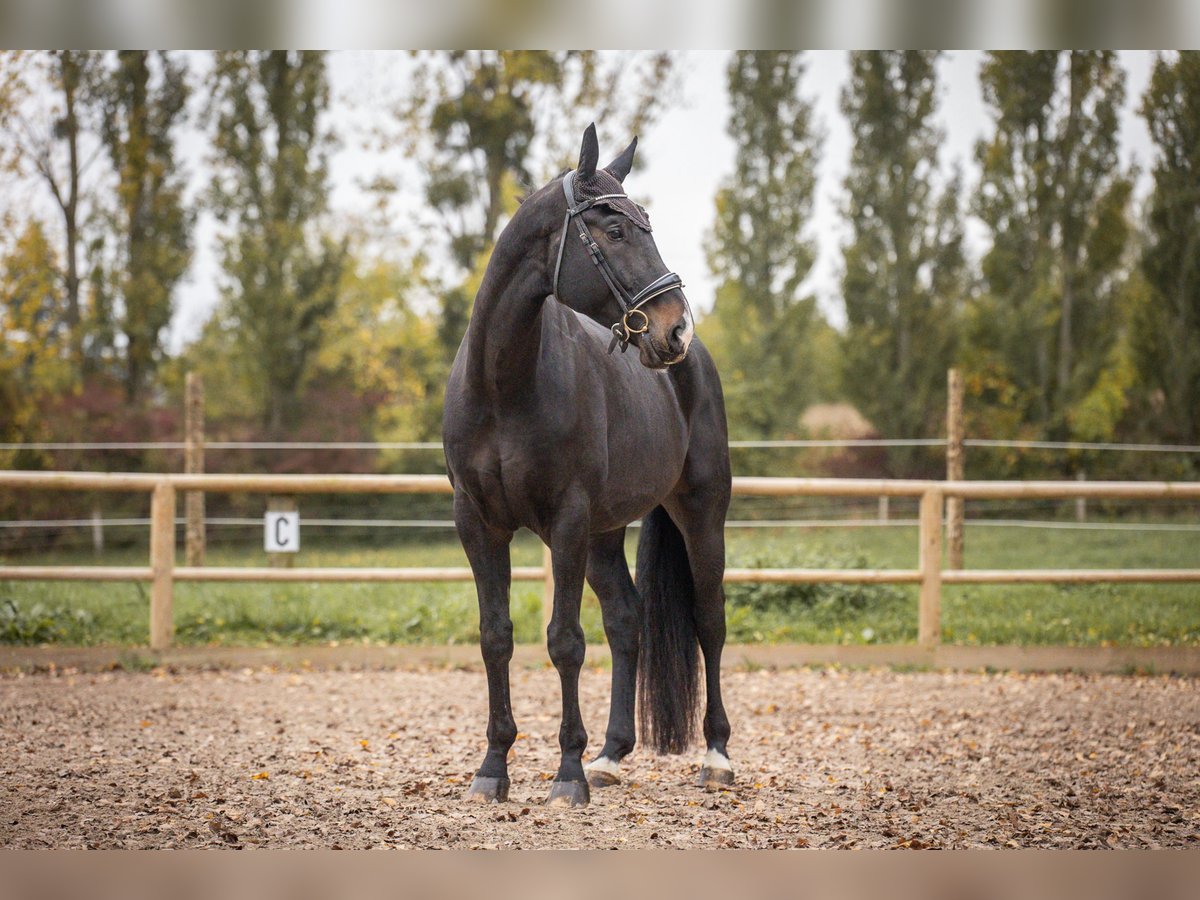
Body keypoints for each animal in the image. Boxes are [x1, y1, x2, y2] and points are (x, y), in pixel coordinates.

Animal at [444, 121, 729, 811]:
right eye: (616, 229)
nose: (674, 329)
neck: (504, 383)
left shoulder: (566, 521)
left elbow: (565, 641)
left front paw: (566, 774)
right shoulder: (477, 522)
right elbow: (496, 637)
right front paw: (493, 768)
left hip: (701, 514)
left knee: (709, 619)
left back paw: (715, 756)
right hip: (605, 532)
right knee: (627, 621)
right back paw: (611, 756)